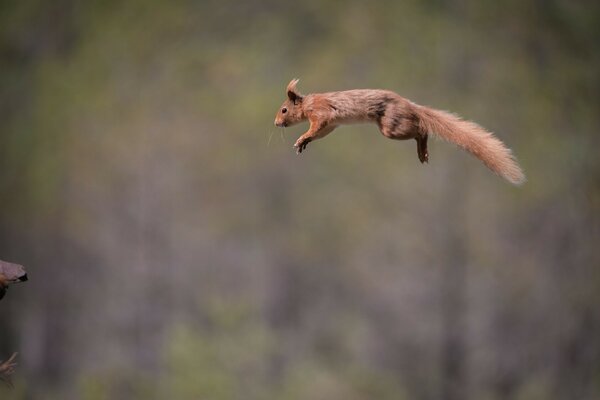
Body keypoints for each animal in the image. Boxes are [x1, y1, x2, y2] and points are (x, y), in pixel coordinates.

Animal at [276, 79, 524, 185]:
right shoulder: (331, 125)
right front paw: (303, 143)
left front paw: (302, 138)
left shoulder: (321, 113)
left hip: (391, 126)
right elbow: (321, 133)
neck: (307, 103)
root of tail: (411, 106)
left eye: (284, 110)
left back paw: (422, 148)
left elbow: (316, 126)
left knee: (421, 129)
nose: (276, 122)